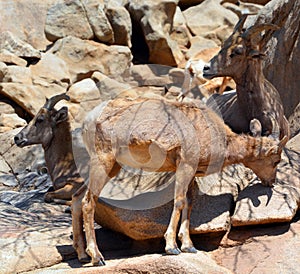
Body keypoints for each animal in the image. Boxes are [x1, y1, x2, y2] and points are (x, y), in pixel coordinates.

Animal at [81, 96, 288, 266]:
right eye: (276, 160)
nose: (271, 181)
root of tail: (87, 121)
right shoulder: (185, 164)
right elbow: (179, 202)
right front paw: (172, 247)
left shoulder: (191, 172)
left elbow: (189, 203)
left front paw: (188, 245)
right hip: (103, 159)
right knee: (87, 202)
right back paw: (97, 257)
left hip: (112, 165)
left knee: (78, 198)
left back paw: (83, 255)